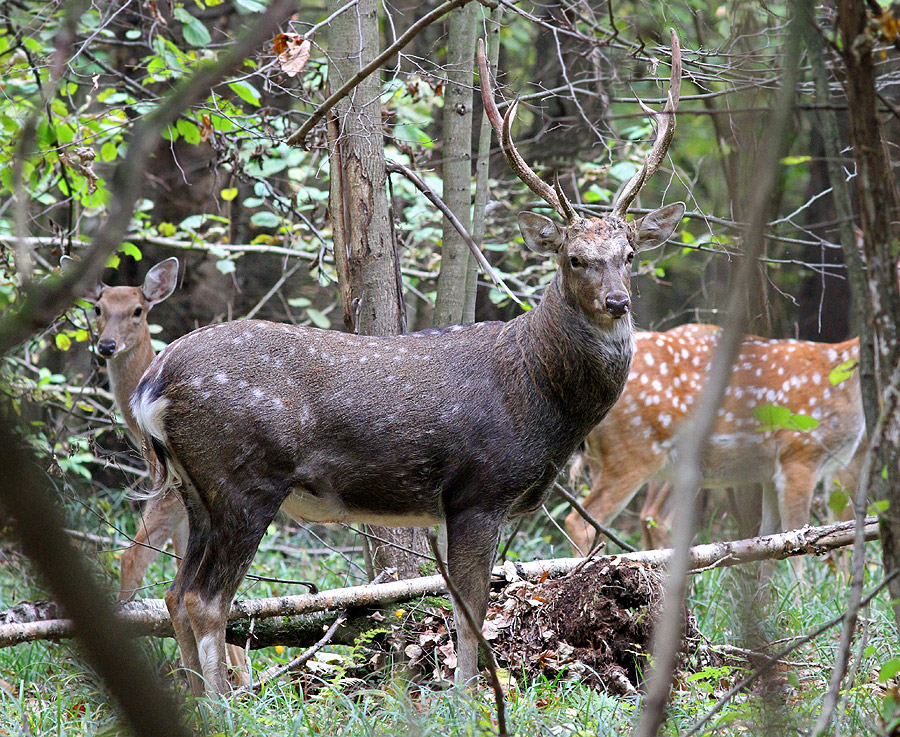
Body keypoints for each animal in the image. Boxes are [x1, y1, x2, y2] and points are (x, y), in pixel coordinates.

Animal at [128, 36, 684, 688]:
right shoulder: (478, 488)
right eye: (574, 258)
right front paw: (467, 695)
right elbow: (470, 611)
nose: (618, 302)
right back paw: (220, 701)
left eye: (629, 254)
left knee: (173, 593)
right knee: (204, 599)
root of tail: (152, 384)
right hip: (242, 477)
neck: (540, 396)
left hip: (193, 487)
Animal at [564, 324, 864, 556]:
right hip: (633, 452)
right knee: (581, 520)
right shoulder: (799, 455)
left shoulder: (775, 473)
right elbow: (799, 539)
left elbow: (771, 542)